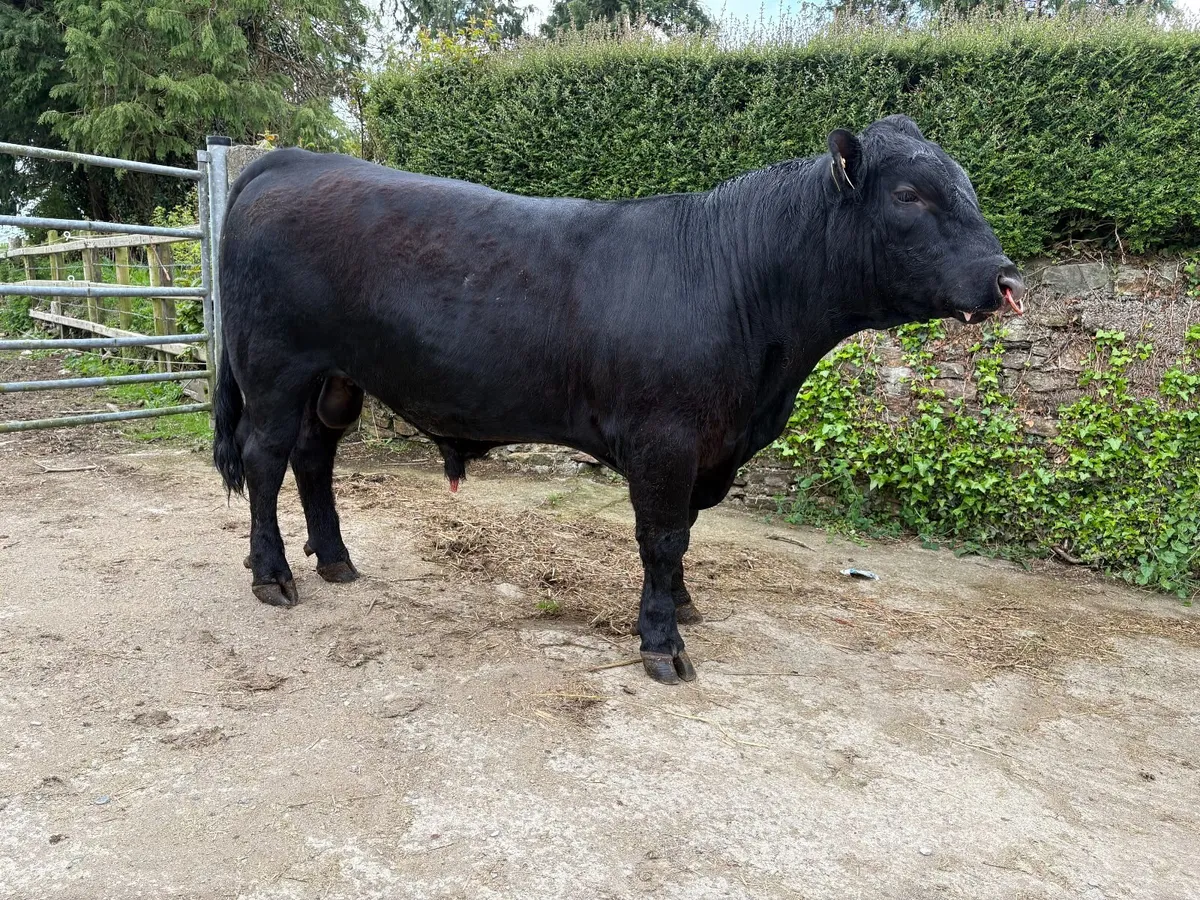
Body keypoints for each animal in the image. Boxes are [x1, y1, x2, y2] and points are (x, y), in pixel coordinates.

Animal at [212, 114, 1025, 685]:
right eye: (910, 195)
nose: (1007, 279)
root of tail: (291, 159)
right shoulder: (666, 438)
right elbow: (661, 537)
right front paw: (663, 643)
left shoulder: (709, 448)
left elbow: (685, 534)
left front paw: (683, 604)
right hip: (277, 368)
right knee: (264, 459)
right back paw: (273, 575)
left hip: (335, 380)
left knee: (314, 458)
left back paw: (335, 560)